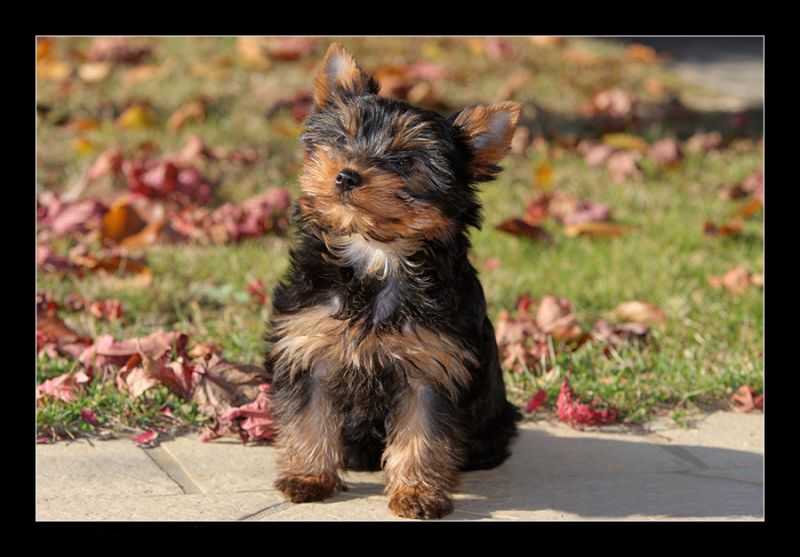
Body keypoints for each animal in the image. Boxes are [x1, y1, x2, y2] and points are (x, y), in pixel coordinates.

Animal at [266, 42, 520, 516]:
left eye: (403, 161)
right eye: (341, 140)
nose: (346, 174)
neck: (377, 256)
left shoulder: (432, 366)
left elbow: (423, 434)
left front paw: (417, 492)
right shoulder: (309, 346)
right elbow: (309, 416)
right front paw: (308, 477)